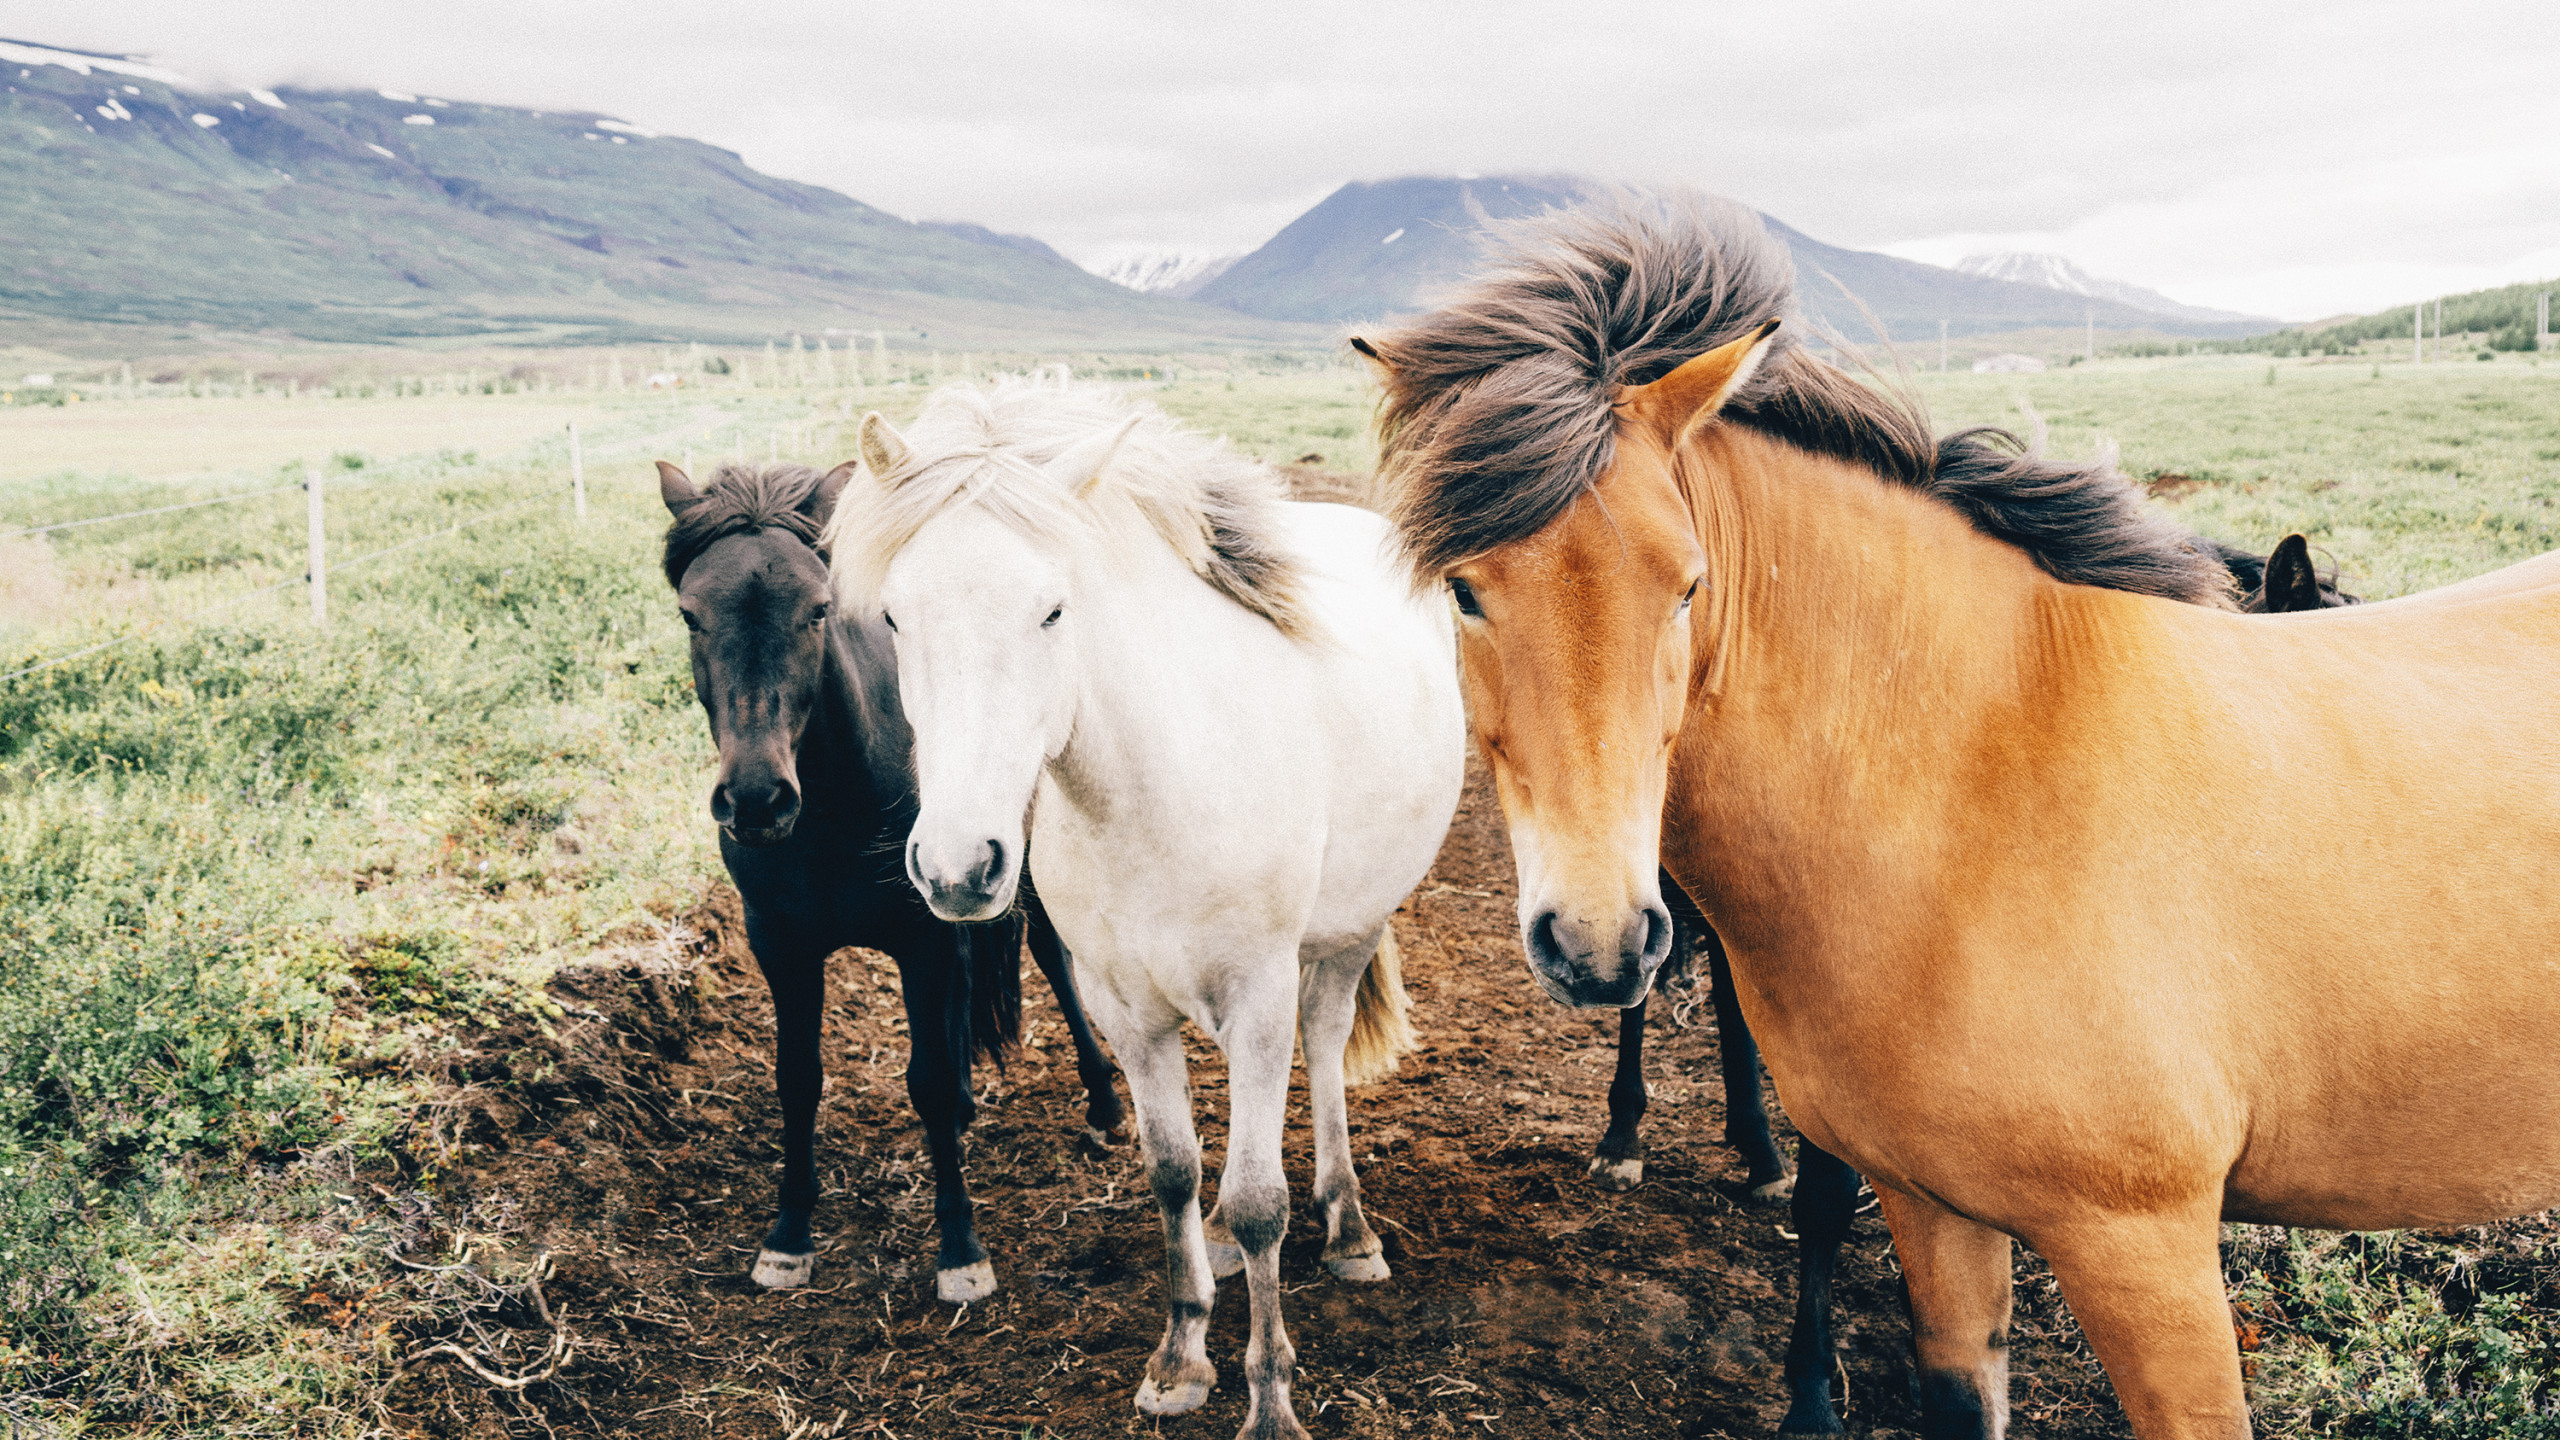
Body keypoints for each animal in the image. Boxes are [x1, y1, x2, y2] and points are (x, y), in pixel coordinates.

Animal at [656, 458, 1125, 1304]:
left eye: (817, 609)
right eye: (690, 614)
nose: (756, 799)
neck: (833, 810)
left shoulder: (922, 935)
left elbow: (930, 1079)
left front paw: (961, 1250)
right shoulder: (780, 946)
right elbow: (798, 1079)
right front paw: (788, 1238)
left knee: (1051, 958)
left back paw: (1103, 1105)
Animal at [828, 379, 1465, 1440]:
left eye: (1053, 610)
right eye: (894, 619)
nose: (958, 867)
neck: (1155, 787)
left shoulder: (1257, 999)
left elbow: (1259, 1198)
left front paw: (1269, 1401)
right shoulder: (1123, 1012)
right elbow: (1173, 1173)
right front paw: (1179, 1358)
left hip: (1347, 936)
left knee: (1327, 1045)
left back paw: (1350, 1227)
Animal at [1357, 192, 2560, 1440]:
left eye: (1687, 584)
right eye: (1461, 590)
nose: (1594, 936)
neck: (1981, 793)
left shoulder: (2136, 1245)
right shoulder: (1939, 1207)